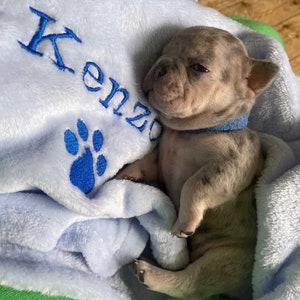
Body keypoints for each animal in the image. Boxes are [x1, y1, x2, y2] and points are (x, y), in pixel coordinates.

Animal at [116, 26, 278, 300]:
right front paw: (127, 174)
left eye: (199, 68)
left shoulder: (229, 166)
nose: (160, 66)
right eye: (162, 52)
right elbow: (147, 161)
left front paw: (186, 219)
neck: (193, 131)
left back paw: (150, 273)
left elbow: (195, 184)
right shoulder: (161, 157)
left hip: (225, 260)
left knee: (189, 283)